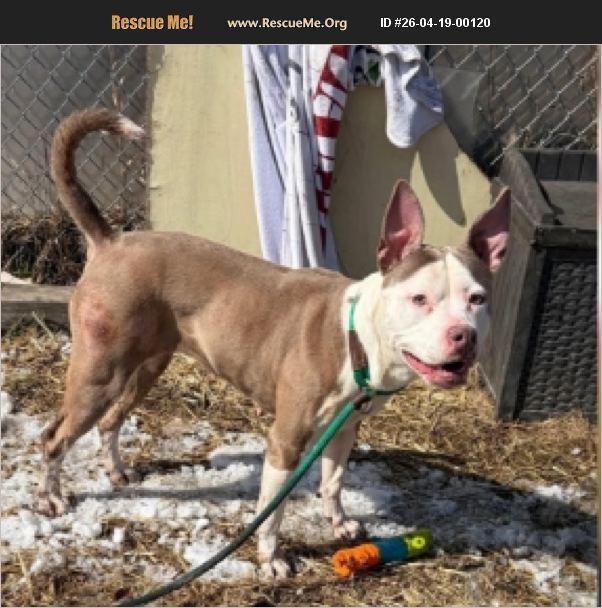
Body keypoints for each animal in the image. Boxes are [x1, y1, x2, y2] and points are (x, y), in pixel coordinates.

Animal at [36, 108, 510, 577]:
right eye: (419, 299)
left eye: (477, 299)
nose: (463, 336)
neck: (356, 339)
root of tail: (112, 241)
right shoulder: (285, 439)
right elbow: (272, 511)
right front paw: (271, 559)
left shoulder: (345, 428)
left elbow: (333, 481)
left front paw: (338, 525)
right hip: (101, 373)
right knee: (55, 435)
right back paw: (52, 497)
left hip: (146, 366)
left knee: (109, 421)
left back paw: (117, 473)